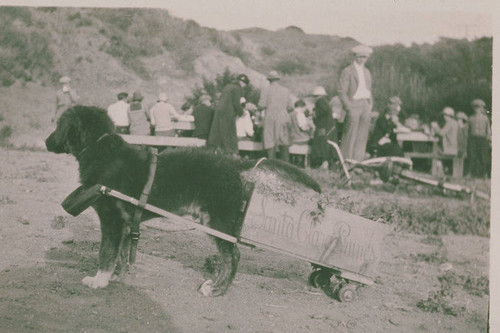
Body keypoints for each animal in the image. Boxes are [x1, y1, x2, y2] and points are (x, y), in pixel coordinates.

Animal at [47, 105, 320, 294]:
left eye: (59, 125)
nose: (45, 141)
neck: (99, 148)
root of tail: (234, 164)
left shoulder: (112, 220)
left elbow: (106, 253)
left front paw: (98, 280)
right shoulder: (124, 223)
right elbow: (121, 254)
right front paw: (115, 276)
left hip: (218, 221)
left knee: (232, 256)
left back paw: (216, 290)